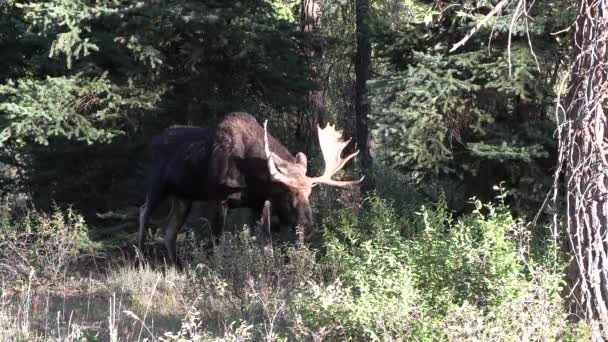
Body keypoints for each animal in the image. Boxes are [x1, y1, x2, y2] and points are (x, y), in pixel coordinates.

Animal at [138, 111, 364, 266]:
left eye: (310, 192)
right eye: (287, 193)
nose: (307, 226)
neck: (252, 178)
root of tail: (150, 143)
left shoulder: (259, 203)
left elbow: (267, 244)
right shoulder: (218, 199)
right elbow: (217, 243)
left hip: (182, 197)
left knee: (169, 231)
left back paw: (178, 267)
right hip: (156, 186)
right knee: (143, 212)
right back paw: (140, 259)